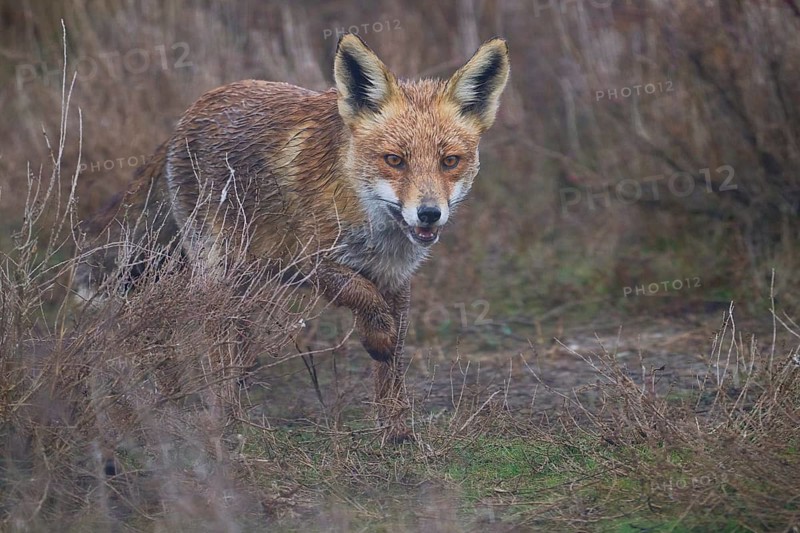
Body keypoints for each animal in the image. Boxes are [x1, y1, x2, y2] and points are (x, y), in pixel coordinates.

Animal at [77, 34, 510, 440]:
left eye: (449, 161)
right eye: (394, 160)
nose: (429, 213)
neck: (370, 222)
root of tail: (192, 110)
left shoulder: (395, 279)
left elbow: (392, 368)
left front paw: (396, 431)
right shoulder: (309, 260)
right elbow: (365, 302)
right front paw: (377, 341)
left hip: (242, 282)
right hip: (215, 273)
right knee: (196, 339)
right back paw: (221, 421)